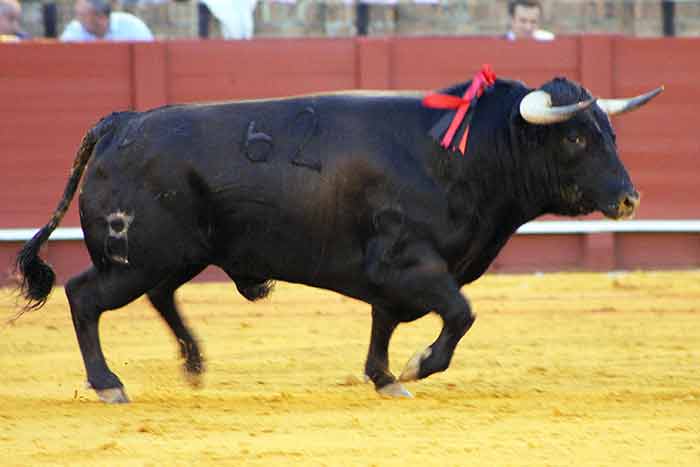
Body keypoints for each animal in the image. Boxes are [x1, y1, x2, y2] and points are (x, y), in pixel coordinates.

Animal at [16, 76, 660, 402]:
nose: (630, 199)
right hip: (135, 258)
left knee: (159, 297)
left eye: (610, 131)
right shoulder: (409, 263)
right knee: (83, 297)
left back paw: (194, 364)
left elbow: (386, 323)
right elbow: (459, 313)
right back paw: (108, 384)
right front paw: (417, 367)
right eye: (575, 137)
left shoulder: (396, 275)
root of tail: (120, 122)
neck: (464, 153)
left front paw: (384, 378)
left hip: (173, 256)